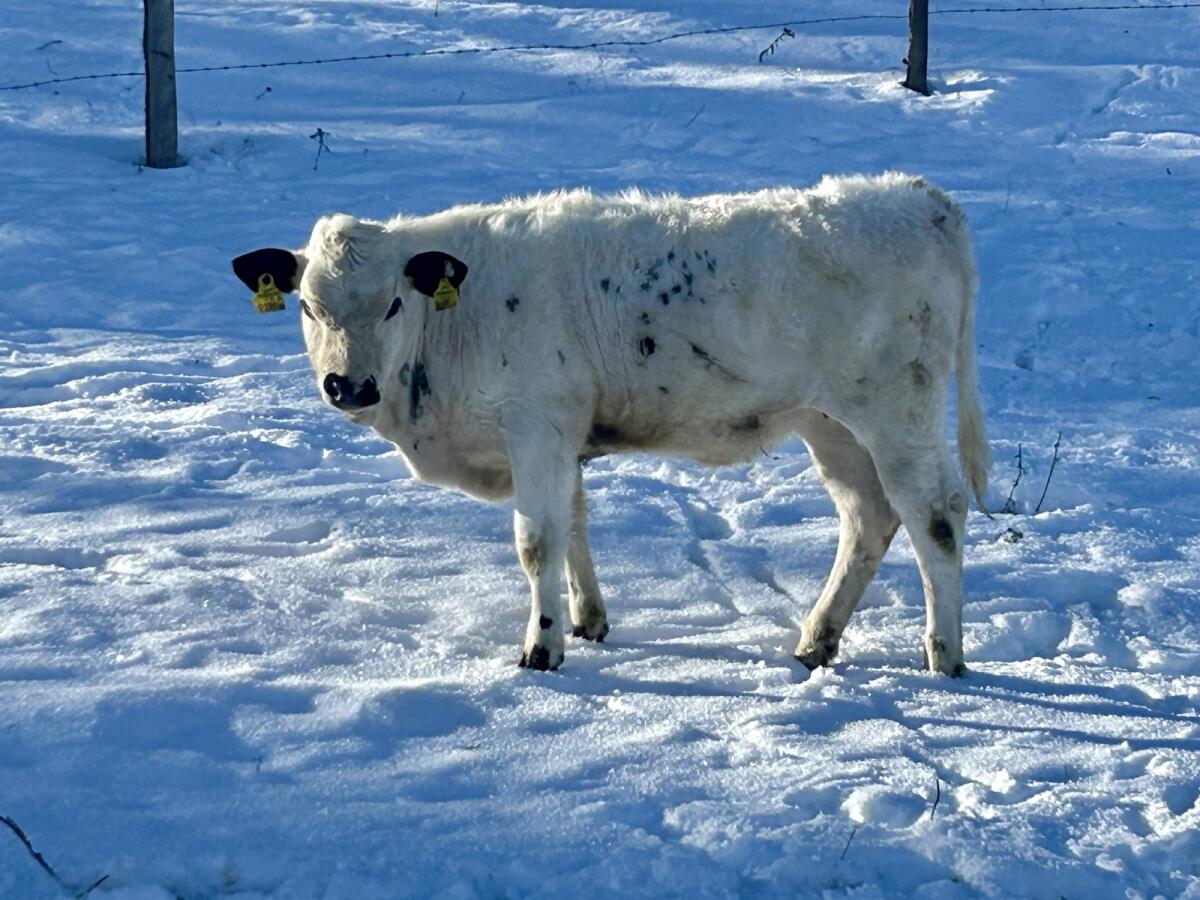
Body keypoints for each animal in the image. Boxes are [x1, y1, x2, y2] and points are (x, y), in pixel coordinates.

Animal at [232, 172, 989, 676]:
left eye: (391, 304)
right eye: (308, 306)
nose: (348, 385)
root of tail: (921, 197)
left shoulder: (535, 426)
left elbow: (537, 541)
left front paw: (541, 648)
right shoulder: (562, 437)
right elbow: (573, 527)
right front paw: (587, 621)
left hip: (897, 412)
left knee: (935, 517)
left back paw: (944, 655)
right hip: (830, 422)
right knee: (868, 516)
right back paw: (816, 639)